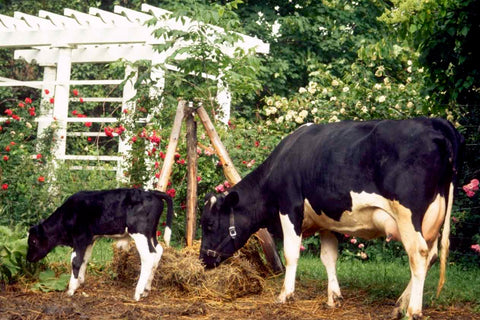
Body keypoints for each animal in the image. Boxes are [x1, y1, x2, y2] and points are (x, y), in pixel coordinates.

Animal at [27, 188, 173, 300]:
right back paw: (146, 290)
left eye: (33, 241)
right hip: (151, 234)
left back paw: (138, 292)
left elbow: (76, 261)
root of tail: (152, 192)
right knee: (158, 251)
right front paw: (80, 282)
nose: (28, 258)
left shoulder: (80, 237)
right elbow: (85, 259)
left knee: (148, 257)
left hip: (139, 232)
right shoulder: (89, 239)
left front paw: (71, 289)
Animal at [198, 118, 462, 320]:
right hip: (433, 219)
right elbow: (328, 257)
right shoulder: (325, 221)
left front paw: (285, 295)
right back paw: (399, 305)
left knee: (418, 255)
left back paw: (412, 310)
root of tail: (435, 122)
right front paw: (333, 297)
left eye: (209, 224)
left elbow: (291, 253)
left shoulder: (290, 208)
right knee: (431, 255)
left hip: (408, 215)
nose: (202, 260)